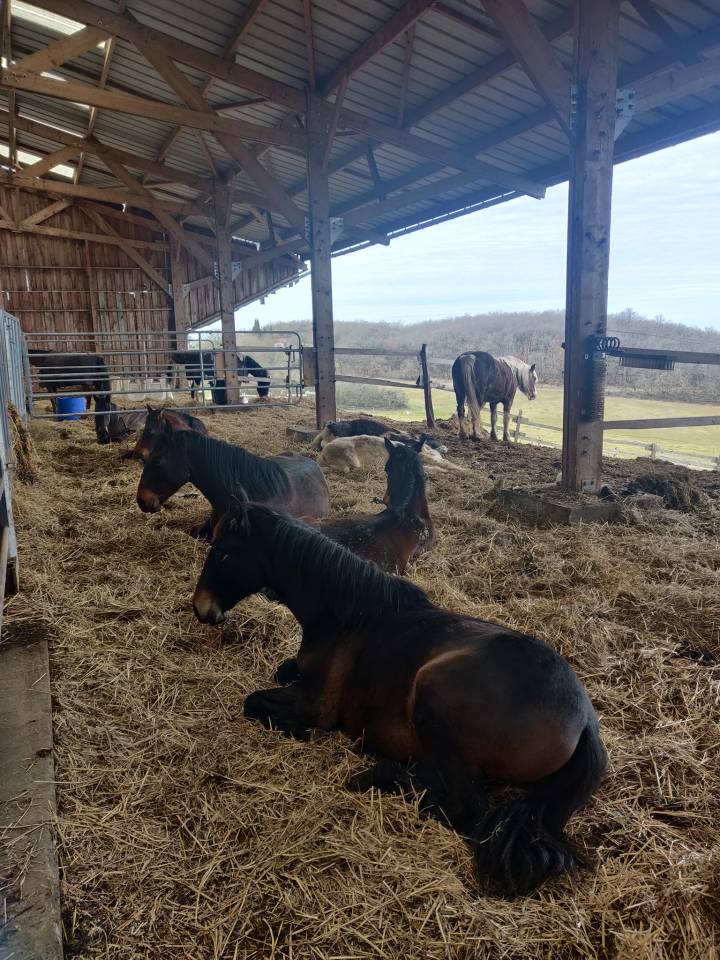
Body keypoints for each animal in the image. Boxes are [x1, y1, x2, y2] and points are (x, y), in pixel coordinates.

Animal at [192, 499, 606, 899]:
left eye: (224, 553)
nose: (201, 609)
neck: (348, 617)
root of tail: (585, 721)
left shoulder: (317, 705)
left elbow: (254, 702)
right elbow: (282, 670)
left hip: (433, 692)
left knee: (464, 807)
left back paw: (380, 773)